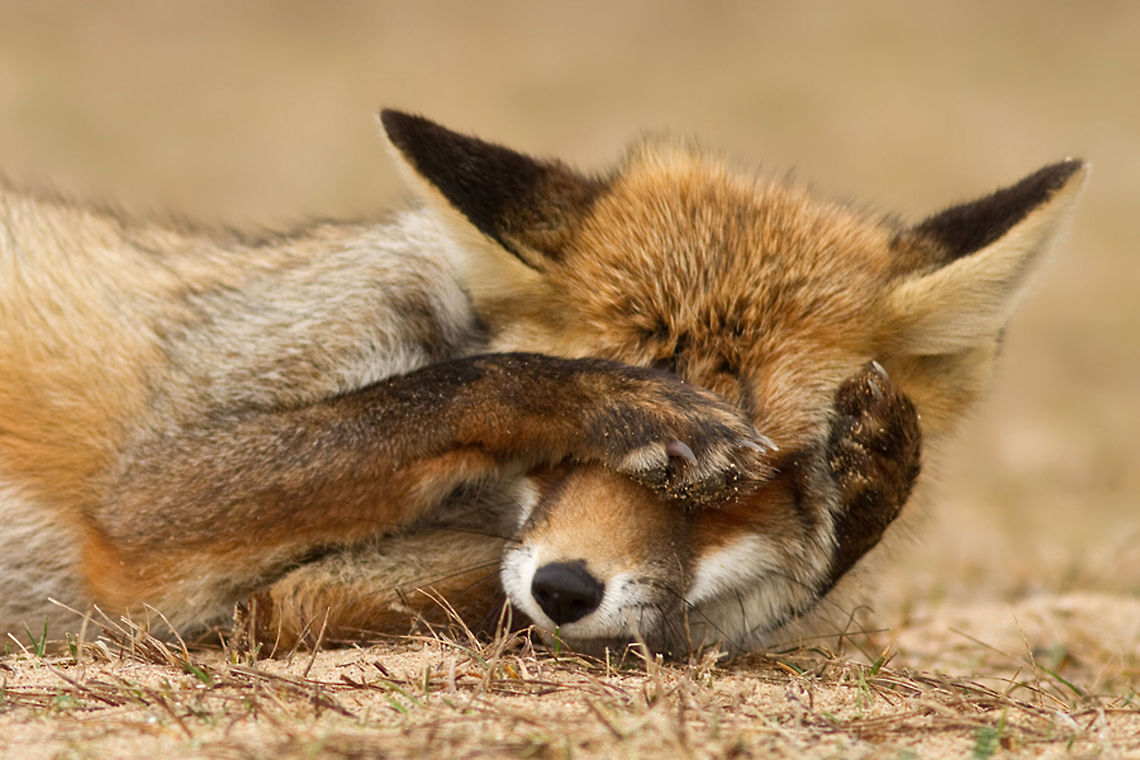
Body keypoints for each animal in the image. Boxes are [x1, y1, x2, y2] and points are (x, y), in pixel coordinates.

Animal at [0, 110, 1084, 657]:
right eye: (557, 458)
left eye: (753, 488)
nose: (566, 589)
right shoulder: (151, 500)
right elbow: (453, 387)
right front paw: (615, 399)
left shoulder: (276, 603)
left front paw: (860, 497)